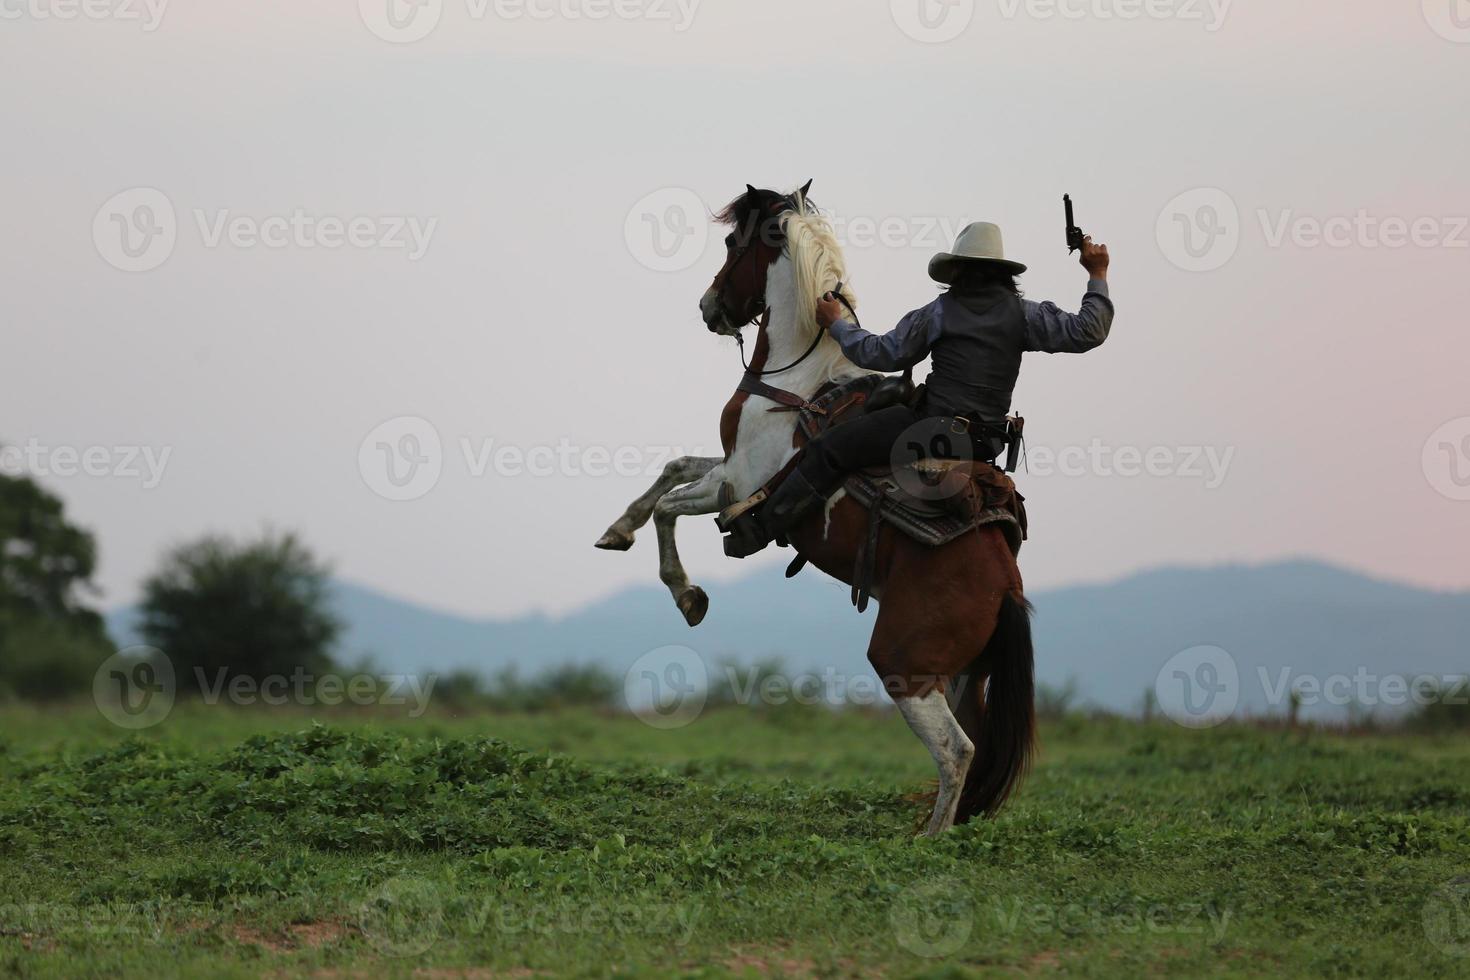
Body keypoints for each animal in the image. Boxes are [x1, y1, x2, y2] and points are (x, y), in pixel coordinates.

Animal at [596, 183, 1034, 834]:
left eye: (733, 242)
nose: (708, 307)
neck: (800, 379)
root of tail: (1007, 586)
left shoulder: (736, 483)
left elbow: (671, 508)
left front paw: (688, 595)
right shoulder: (732, 467)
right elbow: (674, 470)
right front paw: (616, 530)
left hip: (904, 664)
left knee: (957, 751)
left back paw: (927, 841)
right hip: (961, 677)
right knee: (970, 750)